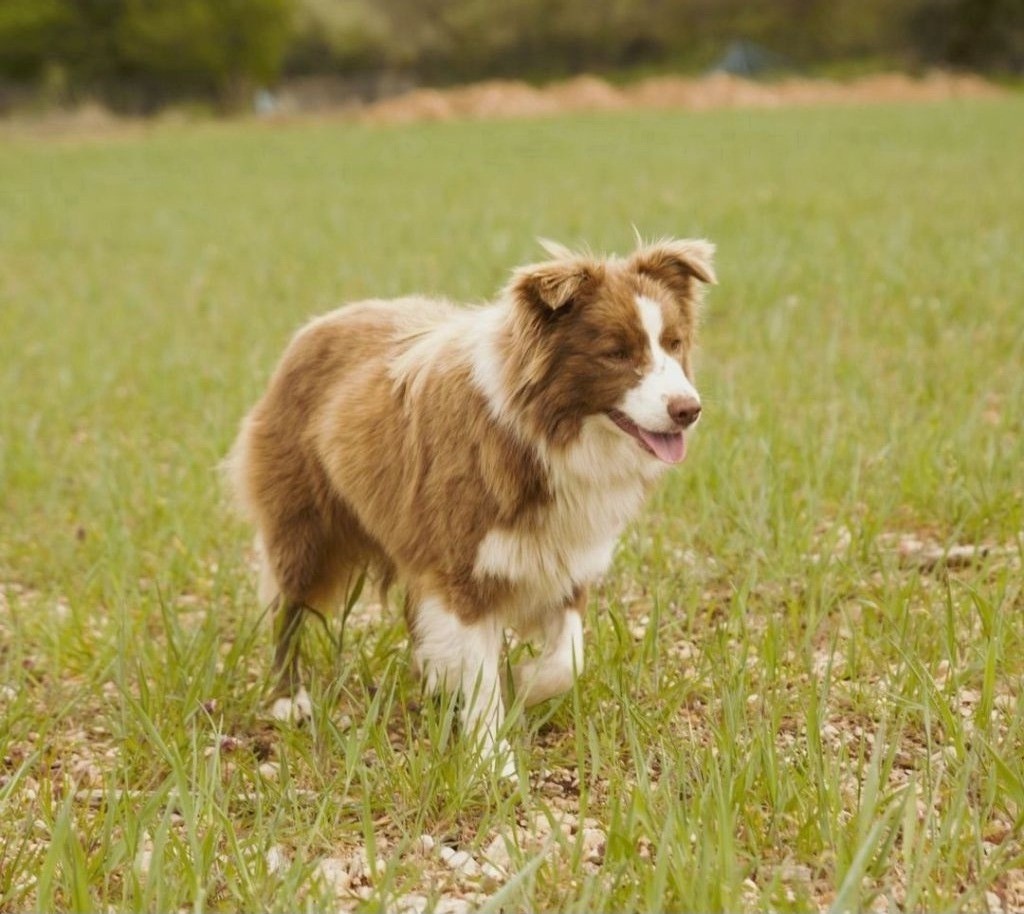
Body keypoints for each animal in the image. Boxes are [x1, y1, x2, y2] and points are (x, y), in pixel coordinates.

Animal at [228, 237, 716, 777]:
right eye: (616, 353)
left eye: (673, 343)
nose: (688, 410)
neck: (547, 437)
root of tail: (320, 322)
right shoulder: (464, 567)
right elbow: (481, 674)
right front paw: (493, 761)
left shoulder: (564, 561)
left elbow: (567, 659)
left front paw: (520, 682)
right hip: (304, 522)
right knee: (288, 606)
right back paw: (288, 699)